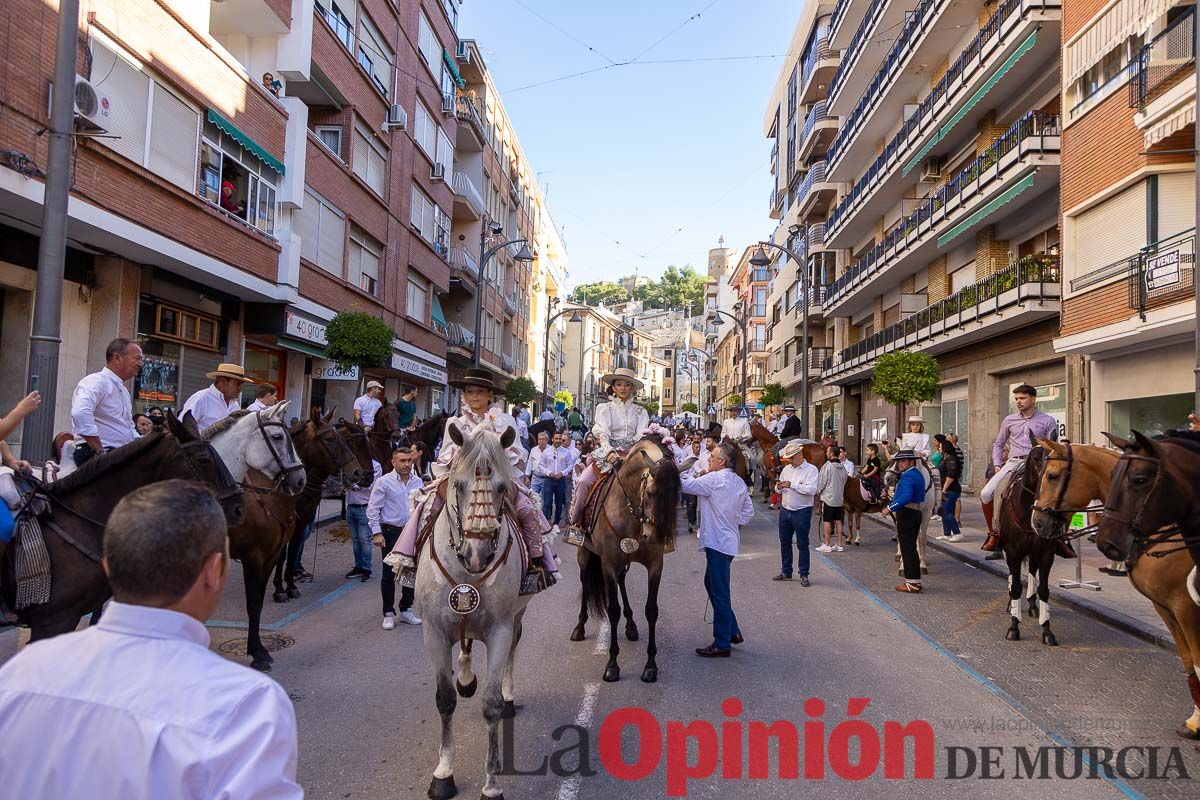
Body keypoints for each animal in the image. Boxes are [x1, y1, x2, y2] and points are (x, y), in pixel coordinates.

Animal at [420, 422, 532, 796]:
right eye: (457, 484)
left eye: (502, 488)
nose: (477, 554)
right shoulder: (434, 632)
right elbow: (444, 700)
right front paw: (443, 774)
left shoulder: (500, 628)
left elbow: (491, 705)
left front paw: (492, 785)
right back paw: (466, 677)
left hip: (516, 619)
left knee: (513, 650)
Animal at [573, 438, 681, 681]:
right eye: (650, 492)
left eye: (676, 495)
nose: (655, 537)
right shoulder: (608, 564)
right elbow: (612, 611)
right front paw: (612, 665)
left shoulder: (655, 565)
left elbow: (651, 611)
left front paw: (650, 666)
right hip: (584, 553)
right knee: (585, 583)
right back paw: (579, 627)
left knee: (622, 581)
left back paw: (631, 625)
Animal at [1094, 431, 1200, 738]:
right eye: (1112, 474)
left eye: (1139, 479)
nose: (1106, 543)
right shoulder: (1165, 607)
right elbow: (1188, 659)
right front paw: (1194, 722)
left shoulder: (1186, 608)